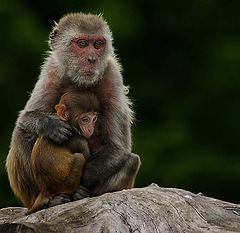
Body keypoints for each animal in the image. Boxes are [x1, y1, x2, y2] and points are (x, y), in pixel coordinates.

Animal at [6, 12, 141, 209]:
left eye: (98, 44)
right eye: (82, 43)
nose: (92, 59)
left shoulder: (112, 76)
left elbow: (117, 147)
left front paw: (83, 179)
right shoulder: (52, 72)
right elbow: (25, 119)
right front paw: (50, 126)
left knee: (131, 161)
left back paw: (82, 194)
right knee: (23, 133)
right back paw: (48, 201)